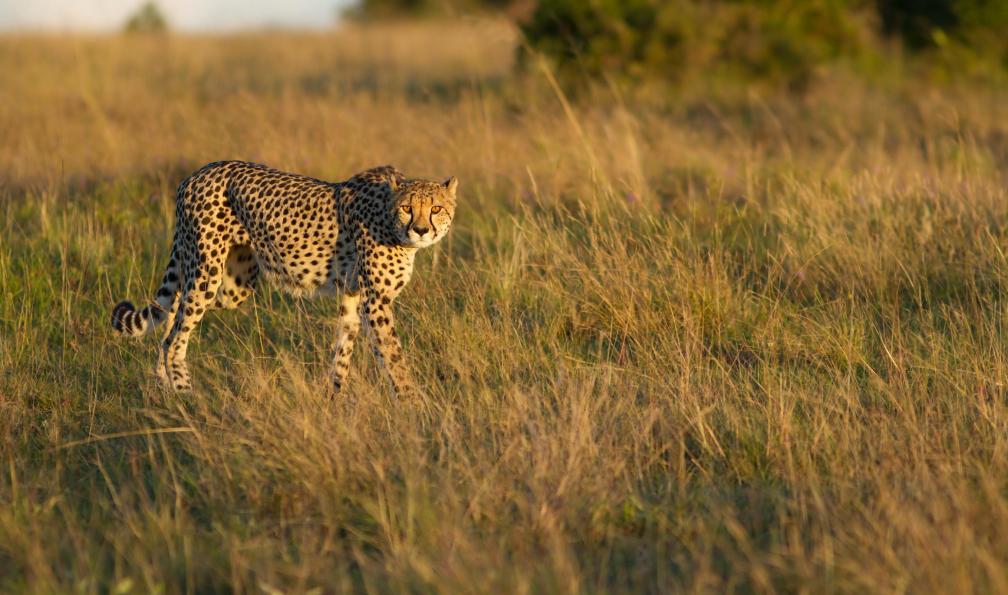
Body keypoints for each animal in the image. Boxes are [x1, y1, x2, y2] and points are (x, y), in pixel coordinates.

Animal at [110, 160, 457, 399]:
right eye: (407, 208)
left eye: (436, 208)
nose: (421, 230)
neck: (388, 218)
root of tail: (195, 174)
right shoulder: (376, 302)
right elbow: (395, 358)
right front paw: (413, 406)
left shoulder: (353, 296)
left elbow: (342, 352)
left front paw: (332, 402)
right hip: (207, 273)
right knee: (175, 338)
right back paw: (186, 397)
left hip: (230, 283)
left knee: (172, 314)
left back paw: (162, 390)